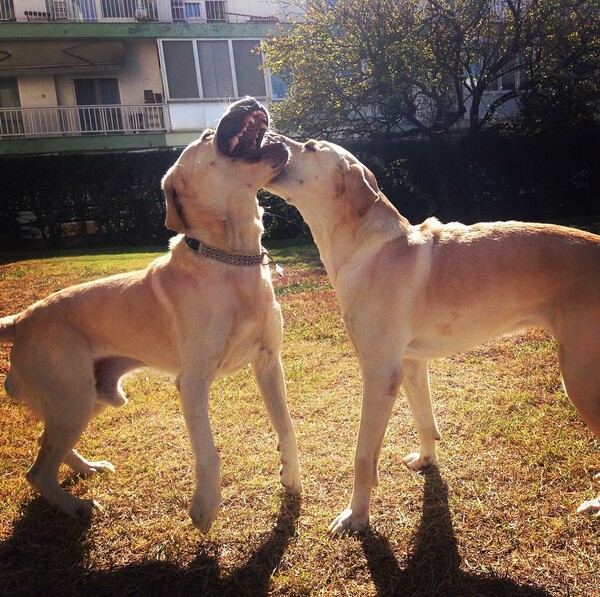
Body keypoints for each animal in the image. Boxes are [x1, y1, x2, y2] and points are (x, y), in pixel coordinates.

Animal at [0, 99, 300, 532]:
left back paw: (86, 469)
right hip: (73, 400)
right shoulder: (193, 383)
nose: (248, 101)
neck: (231, 260)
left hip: (87, 398)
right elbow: (209, 452)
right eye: (206, 135)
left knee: (45, 446)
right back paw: (74, 505)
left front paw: (291, 477)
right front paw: (205, 507)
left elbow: (286, 425)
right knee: (37, 471)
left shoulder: (268, 362)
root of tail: (20, 319)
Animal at [262, 134, 600, 532]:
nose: (270, 135)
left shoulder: (380, 374)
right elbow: (425, 421)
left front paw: (356, 516)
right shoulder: (410, 365)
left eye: (312, 146)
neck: (369, 249)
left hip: (580, 381)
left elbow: (363, 456)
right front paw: (426, 461)